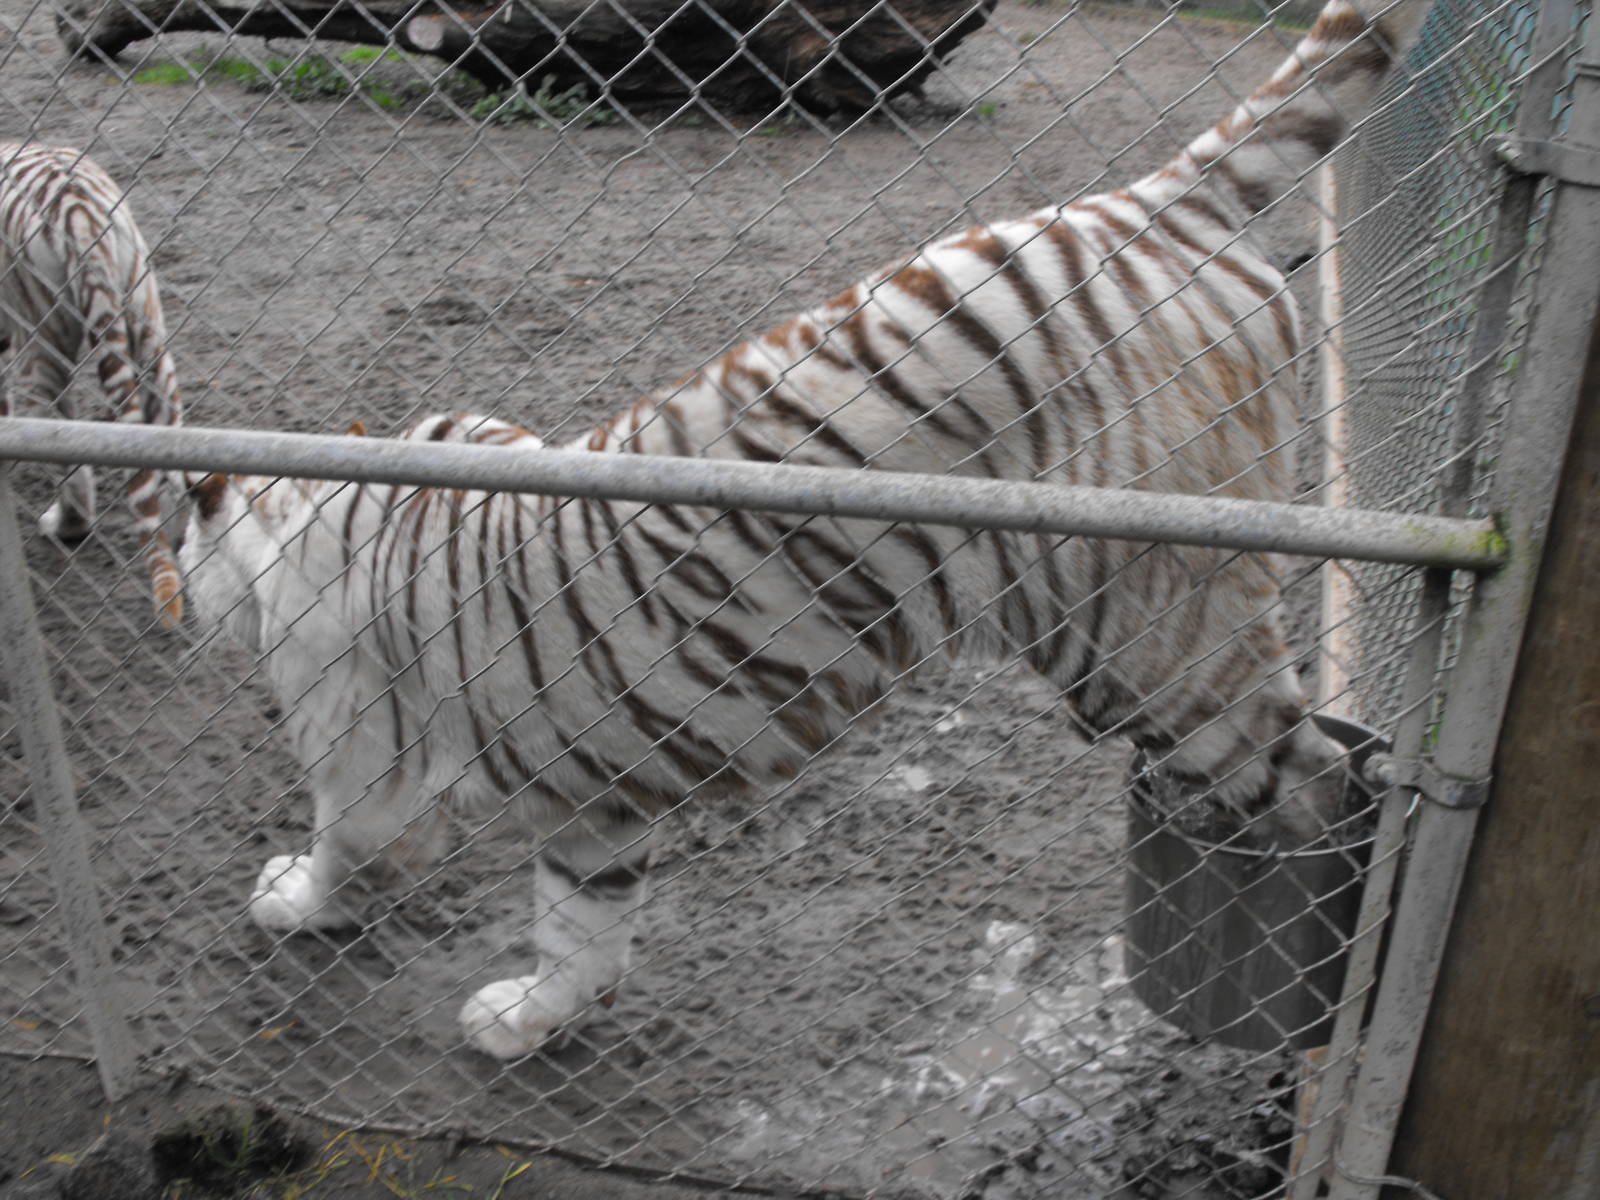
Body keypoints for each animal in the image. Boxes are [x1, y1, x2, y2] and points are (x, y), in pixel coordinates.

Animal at [179, 0, 1433, 1060]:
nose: (178, 601)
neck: (311, 497)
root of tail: (1160, 196)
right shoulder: (596, 799)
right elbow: (585, 927)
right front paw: (531, 1022)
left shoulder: (365, 755)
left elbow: (348, 844)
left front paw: (288, 898)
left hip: (1148, 636)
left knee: (1309, 777)